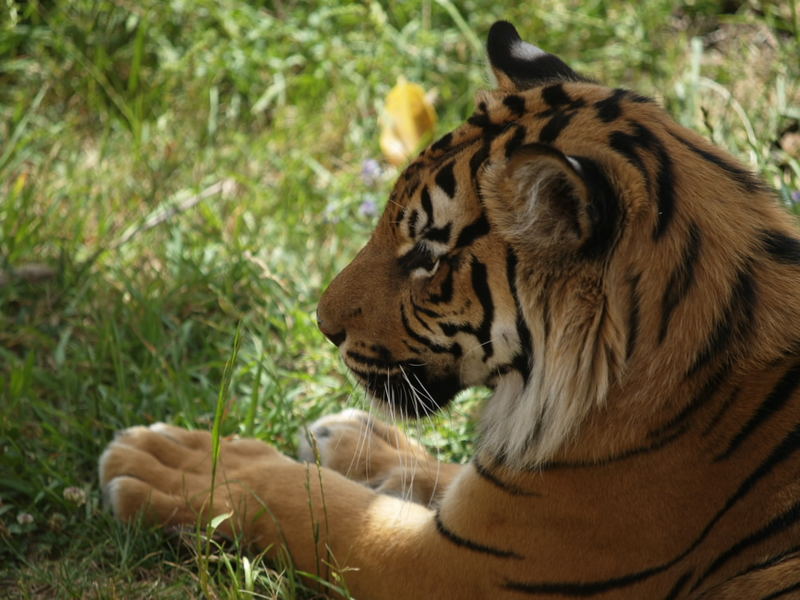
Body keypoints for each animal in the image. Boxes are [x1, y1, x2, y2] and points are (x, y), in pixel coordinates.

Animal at [100, 19, 800, 600]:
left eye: (427, 254)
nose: (323, 326)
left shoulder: (459, 565)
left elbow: (312, 505)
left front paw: (167, 461)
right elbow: (431, 473)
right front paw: (347, 437)